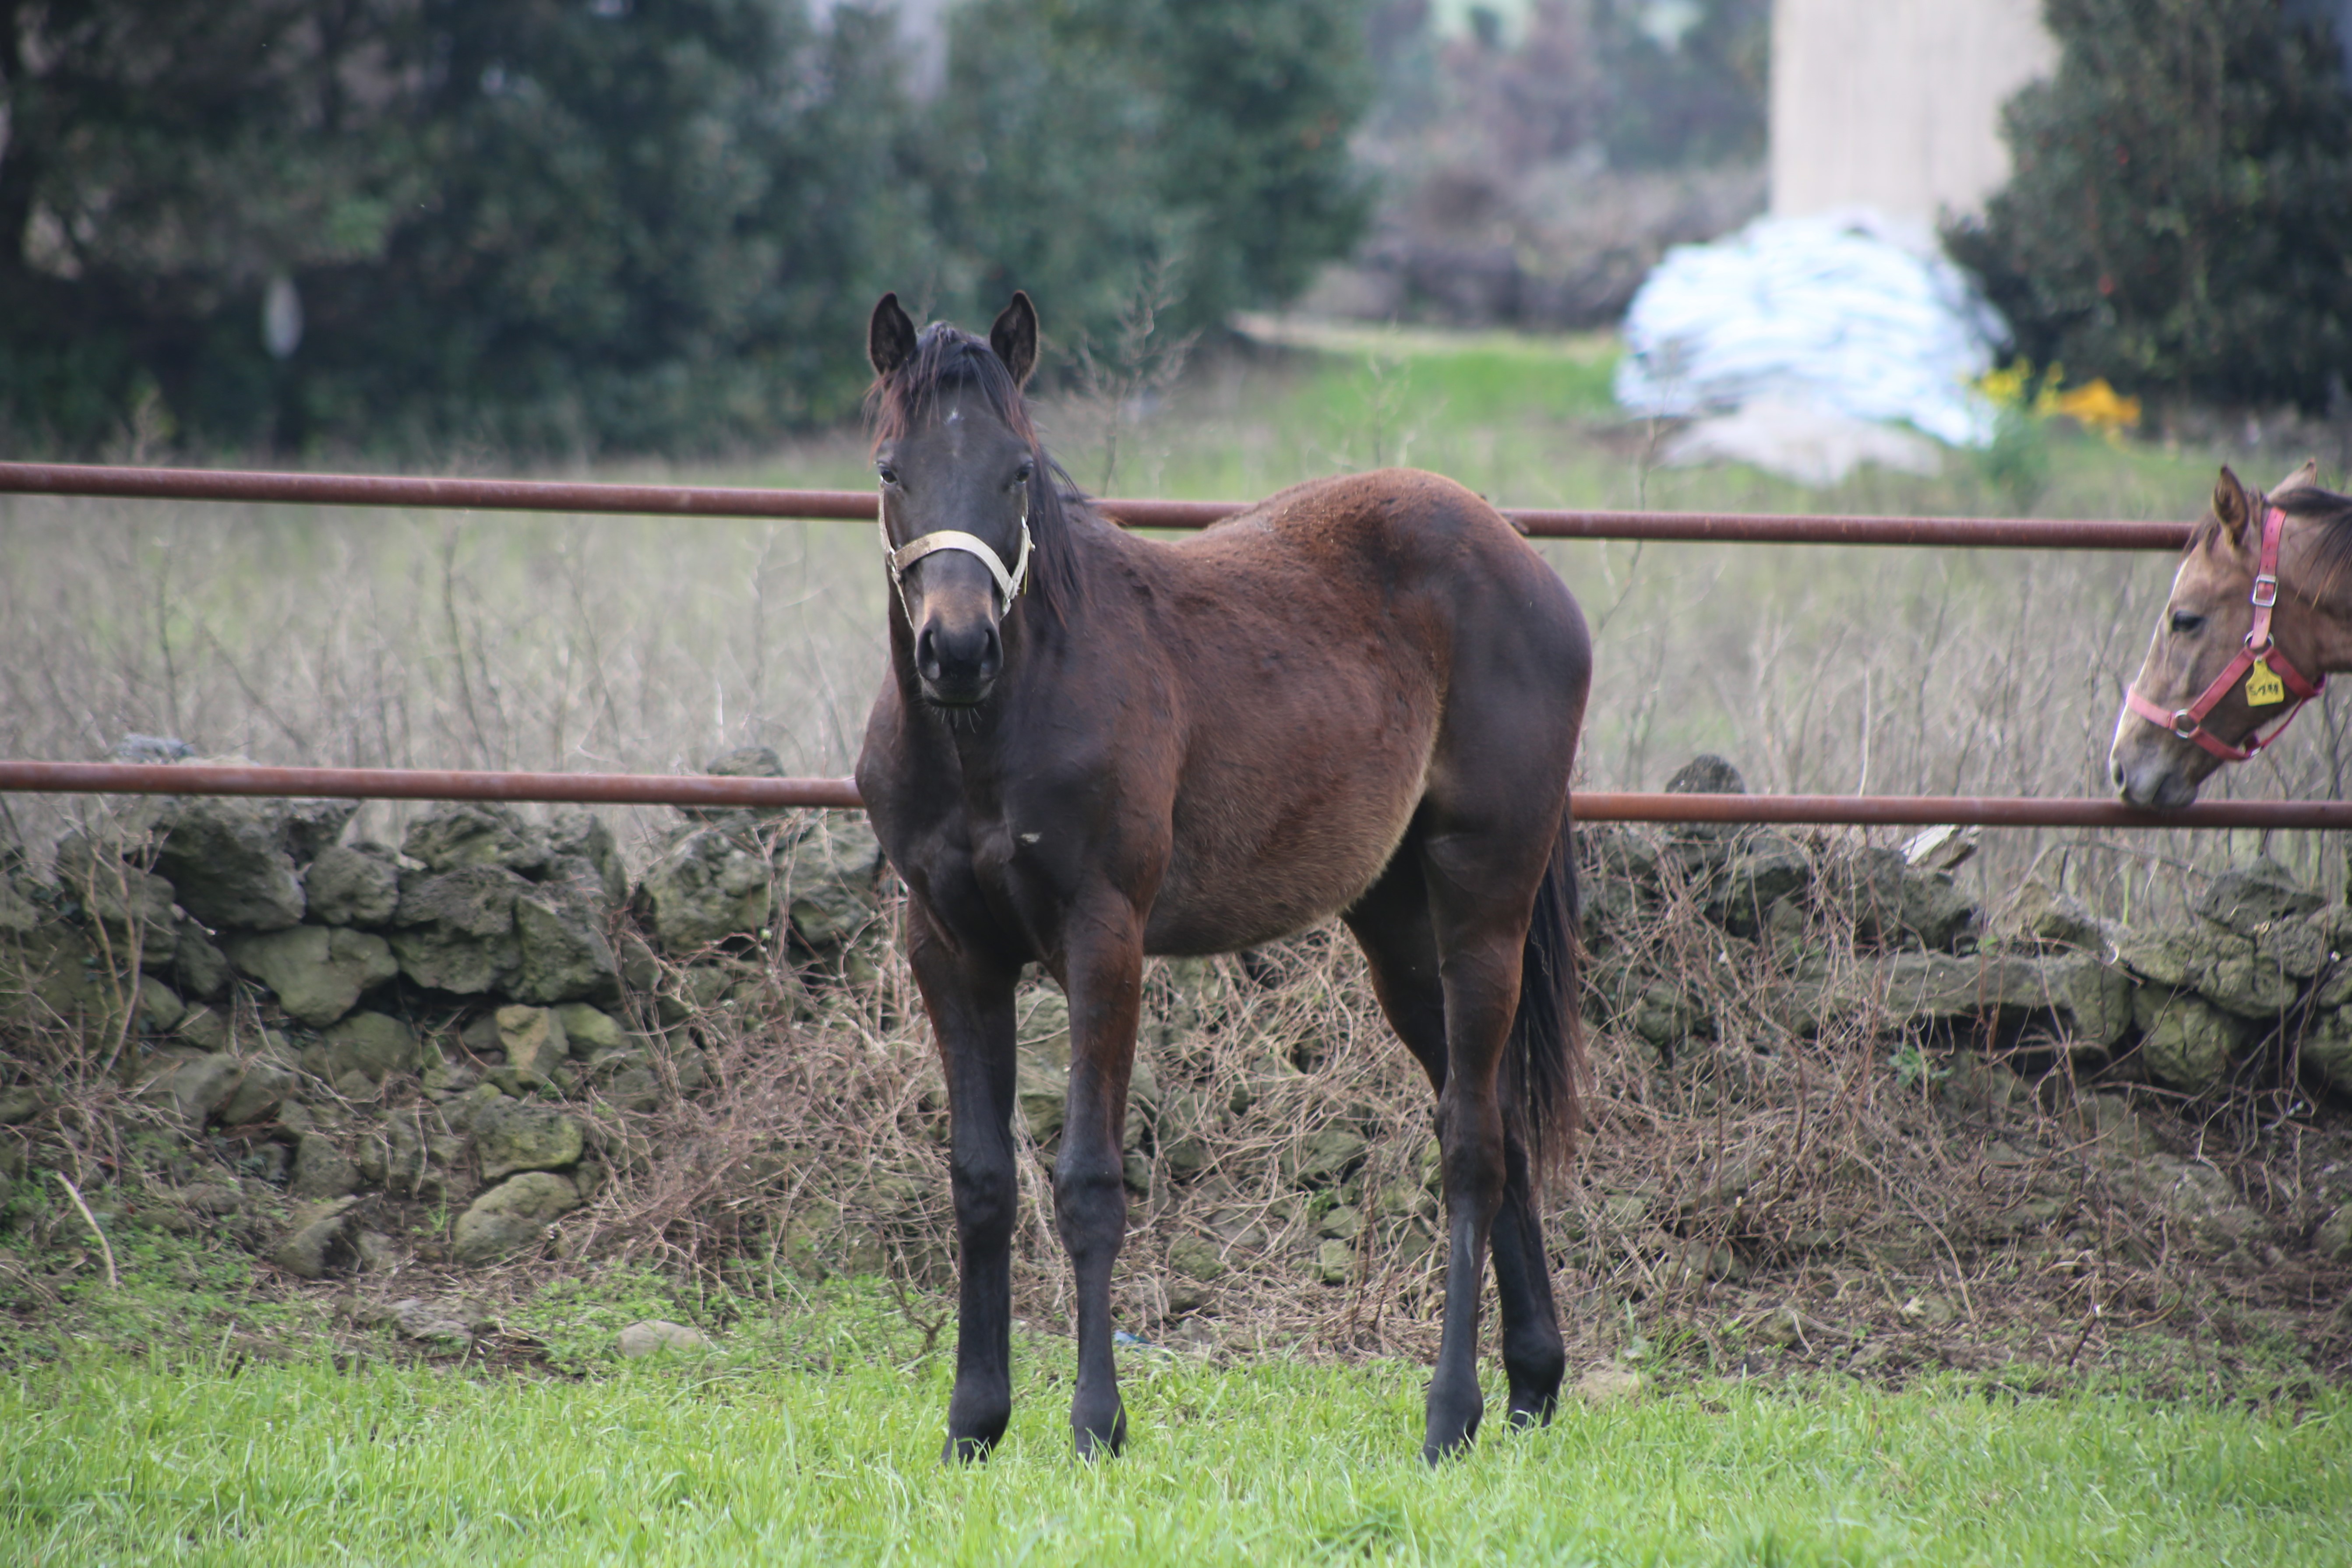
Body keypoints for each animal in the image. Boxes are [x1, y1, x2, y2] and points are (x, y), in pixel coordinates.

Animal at [856, 297, 1590, 1476]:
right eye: (891, 468)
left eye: (1019, 470)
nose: (957, 651)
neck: (994, 729)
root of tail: (1521, 559)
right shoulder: (952, 950)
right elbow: (981, 1181)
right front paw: (974, 1421)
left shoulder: (1103, 941)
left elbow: (1088, 1182)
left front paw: (1097, 1423)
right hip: (1399, 937)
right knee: (1500, 1126)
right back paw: (1530, 1385)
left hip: (1484, 903)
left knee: (1473, 1144)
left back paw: (1451, 1412)